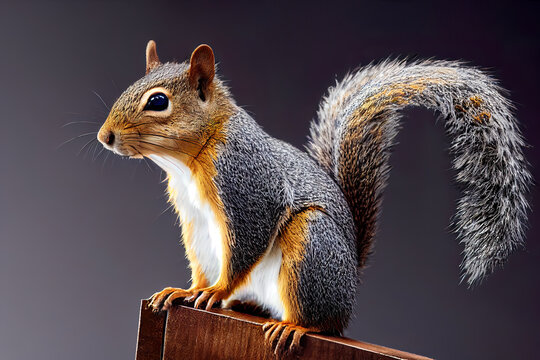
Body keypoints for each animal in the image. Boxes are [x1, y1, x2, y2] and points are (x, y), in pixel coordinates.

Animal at [97, 40, 532, 356]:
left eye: (158, 101)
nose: (105, 137)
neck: (189, 160)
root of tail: (349, 285)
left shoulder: (247, 186)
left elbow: (246, 244)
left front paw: (217, 291)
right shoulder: (195, 219)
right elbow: (202, 258)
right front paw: (189, 291)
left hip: (312, 246)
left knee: (322, 321)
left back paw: (294, 325)